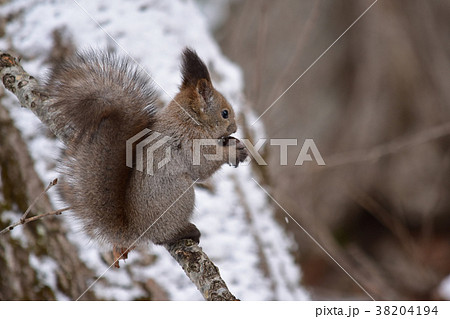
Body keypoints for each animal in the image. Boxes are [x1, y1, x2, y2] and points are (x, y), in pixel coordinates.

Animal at [46, 47, 246, 268]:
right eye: (225, 113)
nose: (234, 128)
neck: (189, 119)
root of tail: (137, 230)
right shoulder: (190, 142)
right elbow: (202, 167)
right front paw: (233, 152)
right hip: (180, 195)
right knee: (162, 237)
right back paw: (185, 231)